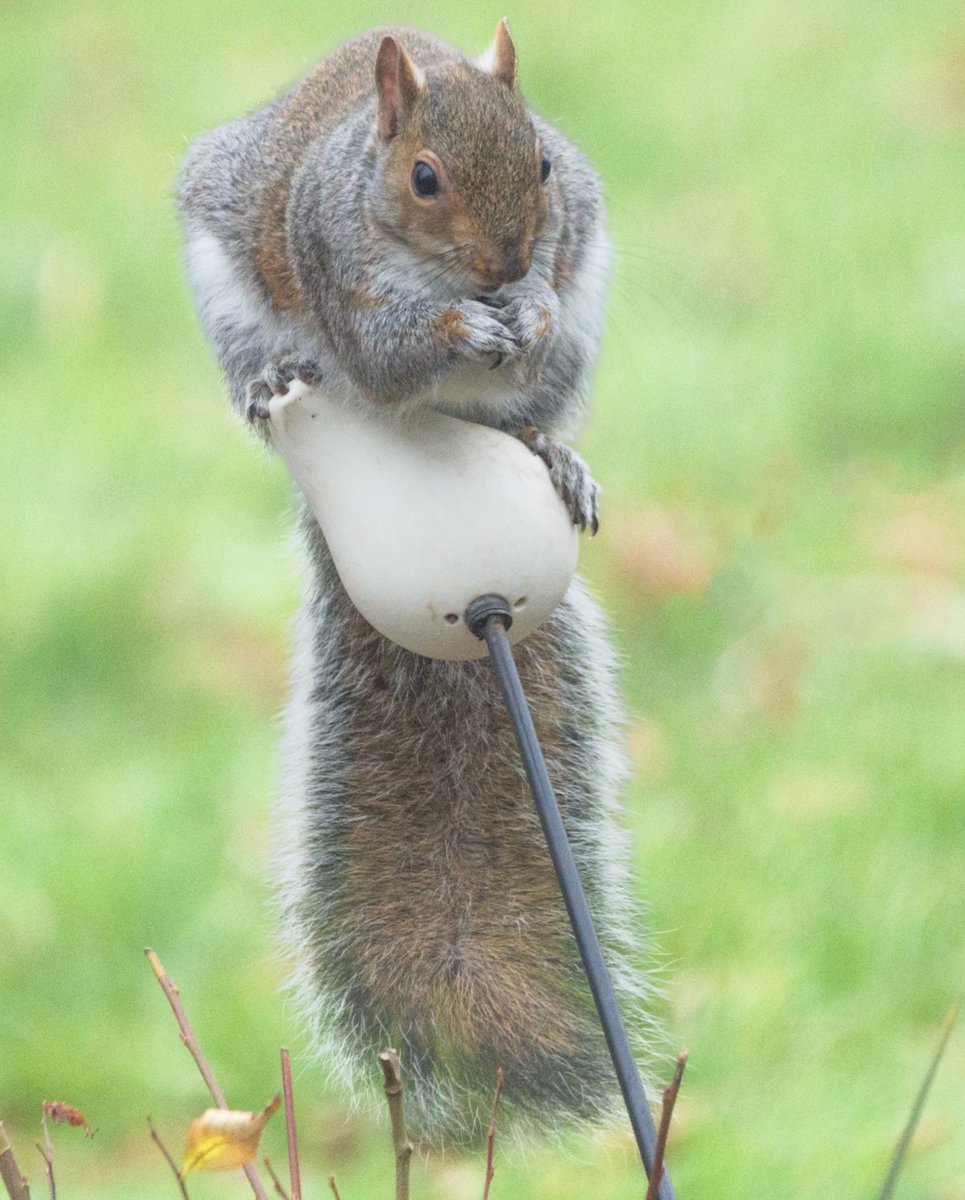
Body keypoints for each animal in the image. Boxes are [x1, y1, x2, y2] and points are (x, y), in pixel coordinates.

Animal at [178, 20, 654, 1143]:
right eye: (424, 178)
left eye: (541, 162)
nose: (510, 262)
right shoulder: (338, 276)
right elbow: (388, 355)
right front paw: (457, 332)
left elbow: (531, 325)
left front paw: (522, 311)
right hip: (234, 304)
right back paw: (278, 384)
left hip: (574, 337)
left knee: (526, 416)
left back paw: (551, 454)